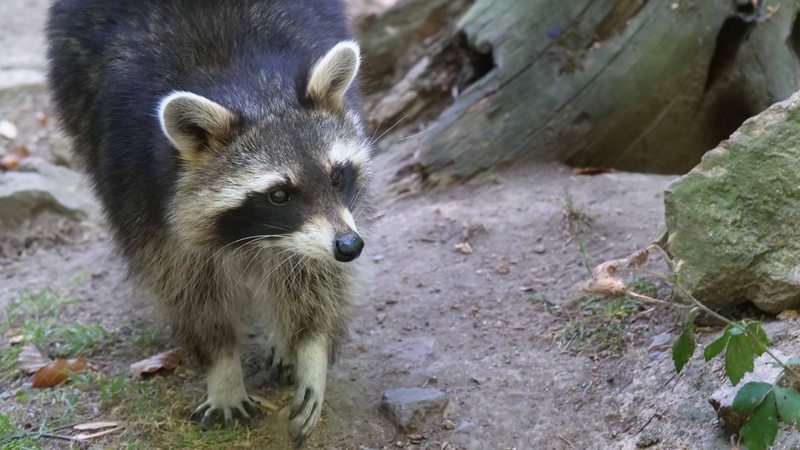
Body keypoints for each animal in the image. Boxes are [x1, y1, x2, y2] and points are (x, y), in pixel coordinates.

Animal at [43, 0, 368, 444]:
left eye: (337, 176)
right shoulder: (139, 184)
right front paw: (222, 366)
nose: (350, 247)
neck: (249, 85)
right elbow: (186, 286)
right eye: (278, 195)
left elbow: (313, 276)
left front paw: (310, 348)